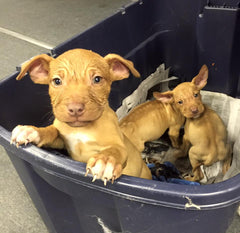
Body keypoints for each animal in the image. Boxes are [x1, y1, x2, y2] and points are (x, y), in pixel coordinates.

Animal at [10, 48, 152, 184]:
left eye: (97, 79)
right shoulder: (63, 141)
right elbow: (52, 131)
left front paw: (105, 161)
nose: (75, 109)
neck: (81, 129)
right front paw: (31, 131)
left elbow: (115, 149)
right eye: (57, 81)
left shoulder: (118, 144)